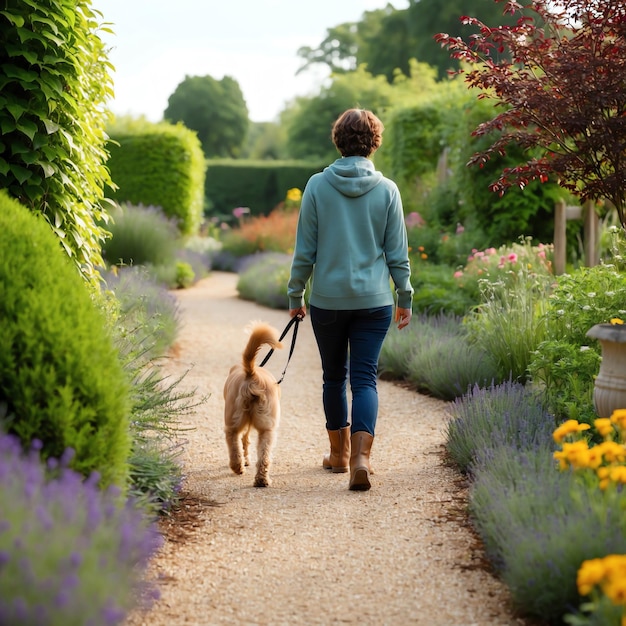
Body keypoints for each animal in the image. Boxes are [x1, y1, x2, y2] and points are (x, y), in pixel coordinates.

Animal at [223, 322, 282, 488]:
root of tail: (251, 374)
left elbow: (244, 441)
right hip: (267, 429)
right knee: (263, 455)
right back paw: (260, 479)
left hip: (235, 422)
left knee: (233, 441)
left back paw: (239, 467)